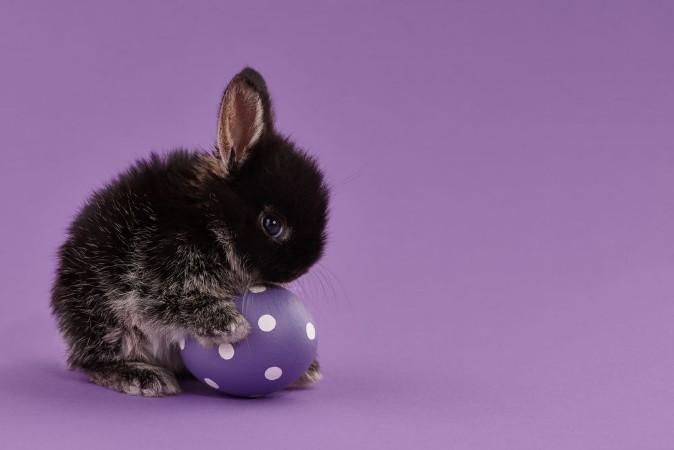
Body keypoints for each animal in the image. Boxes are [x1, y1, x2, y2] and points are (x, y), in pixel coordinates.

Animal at [50, 67, 330, 397]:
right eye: (272, 225)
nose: (300, 269)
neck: (210, 223)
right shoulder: (154, 272)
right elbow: (168, 302)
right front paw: (228, 324)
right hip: (104, 318)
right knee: (93, 362)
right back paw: (141, 376)